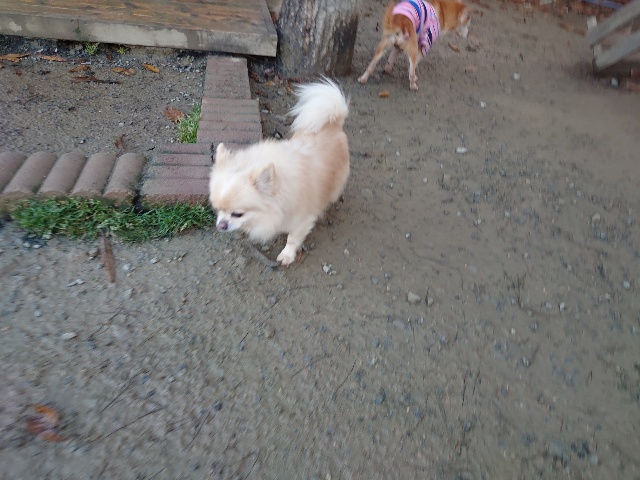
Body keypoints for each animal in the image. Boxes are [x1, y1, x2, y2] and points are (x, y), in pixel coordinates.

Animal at [209, 78, 350, 266]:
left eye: (237, 214)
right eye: (218, 210)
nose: (221, 225)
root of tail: (333, 123)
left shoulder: (302, 220)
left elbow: (293, 238)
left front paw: (287, 255)